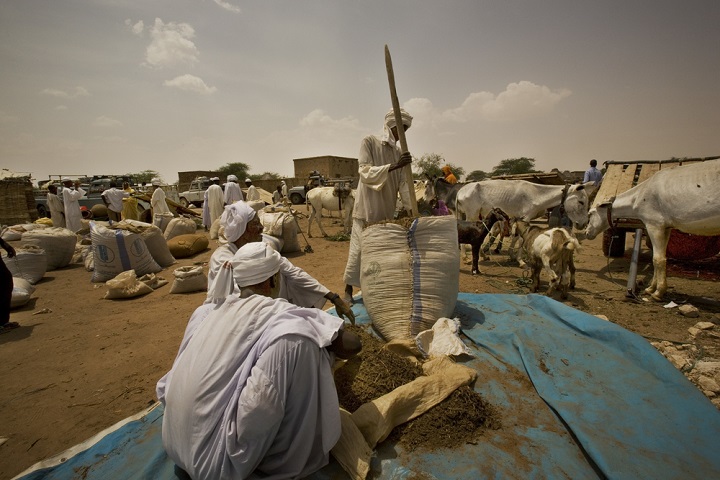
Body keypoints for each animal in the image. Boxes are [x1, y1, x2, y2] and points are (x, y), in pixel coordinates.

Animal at [584, 160, 720, 300]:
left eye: (590, 214)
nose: (586, 233)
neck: (637, 198)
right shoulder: (665, 227)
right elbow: (659, 258)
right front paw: (651, 288)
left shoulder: (654, 224)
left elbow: (658, 259)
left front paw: (658, 292)